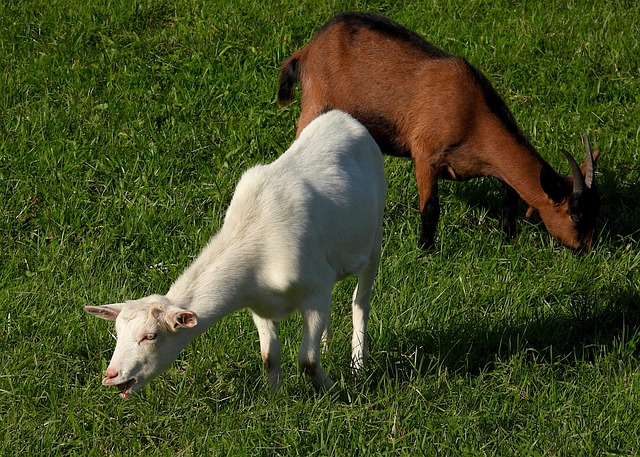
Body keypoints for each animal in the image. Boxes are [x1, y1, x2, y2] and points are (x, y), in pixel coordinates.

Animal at [84, 108, 384, 398]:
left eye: (151, 336)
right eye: (117, 333)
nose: (111, 375)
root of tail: (343, 118)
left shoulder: (315, 290)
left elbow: (307, 361)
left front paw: (336, 390)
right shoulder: (260, 305)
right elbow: (269, 357)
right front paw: (274, 399)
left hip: (375, 237)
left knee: (361, 301)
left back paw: (358, 363)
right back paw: (328, 345)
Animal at [276, 11, 600, 249]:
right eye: (574, 214)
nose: (586, 248)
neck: (474, 114)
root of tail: (308, 49)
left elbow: (510, 193)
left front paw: (508, 237)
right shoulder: (425, 154)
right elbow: (431, 208)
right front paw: (425, 250)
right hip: (316, 101)